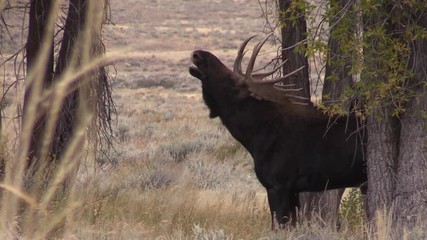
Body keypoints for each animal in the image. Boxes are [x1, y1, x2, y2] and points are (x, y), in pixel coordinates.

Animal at [190, 34, 368, 228]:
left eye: (230, 78)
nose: (198, 54)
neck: (254, 137)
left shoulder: (278, 184)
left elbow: (278, 225)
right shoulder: (293, 190)